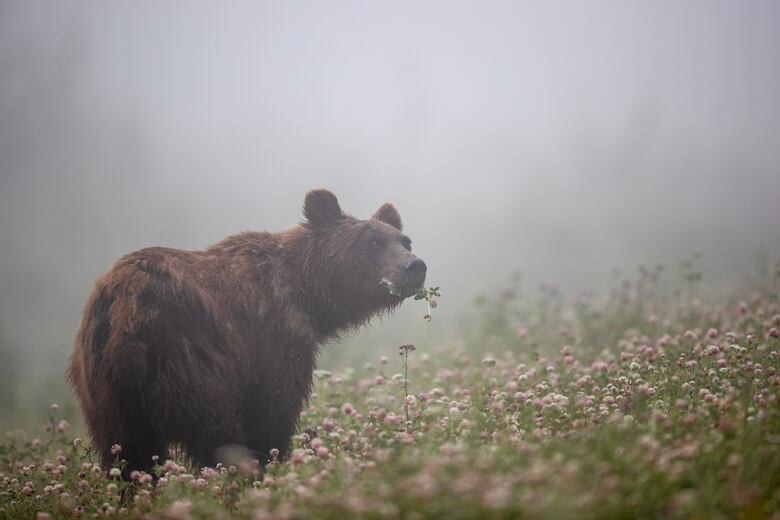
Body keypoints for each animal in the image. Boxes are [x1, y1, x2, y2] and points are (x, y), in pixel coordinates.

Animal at [67, 191, 426, 476]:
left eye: (404, 241)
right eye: (373, 241)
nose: (415, 267)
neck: (306, 292)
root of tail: (123, 307)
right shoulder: (274, 335)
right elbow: (272, 412)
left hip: (104, 389)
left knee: (127, 453)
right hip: (185, 356)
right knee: (216, 433)